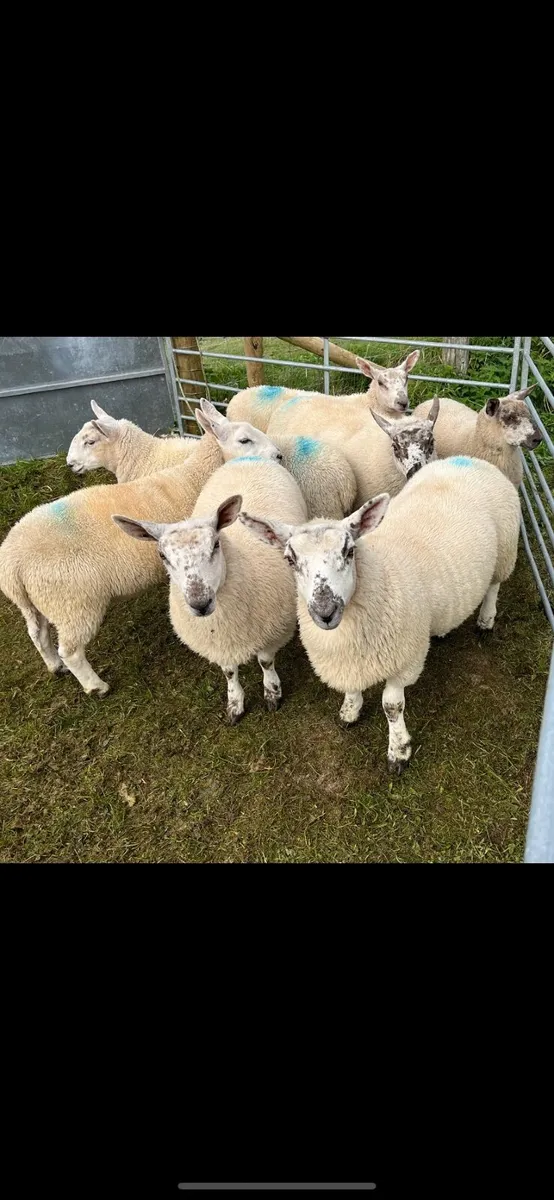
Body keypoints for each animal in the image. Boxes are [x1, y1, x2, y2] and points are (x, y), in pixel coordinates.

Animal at [0, 415, 283, 697]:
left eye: (89, 441)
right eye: (244, 440)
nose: (278, 455)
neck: (192, 475)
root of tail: (11, 565)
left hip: (35, 603)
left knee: (37, 634)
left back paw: (55, 666)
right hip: (73, 604)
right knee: (70, 651)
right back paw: (96, 686)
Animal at [113, 458, 308, 723]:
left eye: (216, 544)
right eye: (162, 556)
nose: (200, 603)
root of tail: (248, 457)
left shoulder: (274, 632)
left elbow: (266, 662)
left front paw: (272, 692)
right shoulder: (218, 644)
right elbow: (229, 672)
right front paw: (235, 703)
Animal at [241, 455, 520, 773]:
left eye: (349, 551)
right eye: (289, 559)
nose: (325, 612)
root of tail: (468, 459)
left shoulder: (405, 658)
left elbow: (392, 706)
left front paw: (398, 750)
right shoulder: (349, 661)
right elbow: (352, 689)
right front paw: (350, 711)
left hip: (506, 549)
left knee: (494, 586)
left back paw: (486, 620)